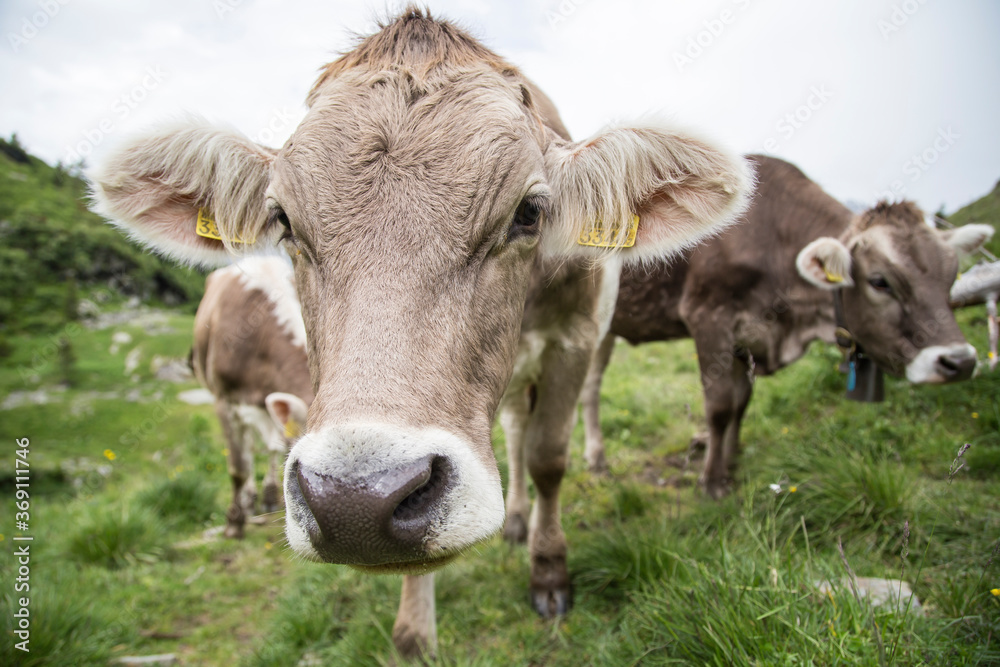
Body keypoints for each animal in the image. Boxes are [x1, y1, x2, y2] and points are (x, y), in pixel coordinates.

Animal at [580, 154, 992, 498]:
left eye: (951, 275)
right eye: (880, 282)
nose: (960, 361)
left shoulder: (747, 338)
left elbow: (741, 402)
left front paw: (731, 461)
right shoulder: (708, 317)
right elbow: (719, 406)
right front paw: (712, 482)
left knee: (590, 387)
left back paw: (597, 459)